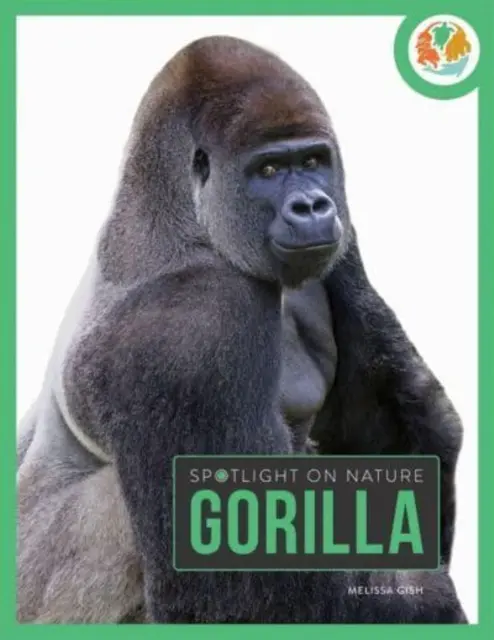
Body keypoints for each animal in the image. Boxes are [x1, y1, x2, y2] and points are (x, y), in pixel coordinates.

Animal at [17, 36, 466, 623]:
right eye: (269, 171)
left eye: (313, 161)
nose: (312, 205)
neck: (182, 217)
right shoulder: (194, 331)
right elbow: (243, 587)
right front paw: (427, 598)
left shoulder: (342, 243)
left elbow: (397, 435)